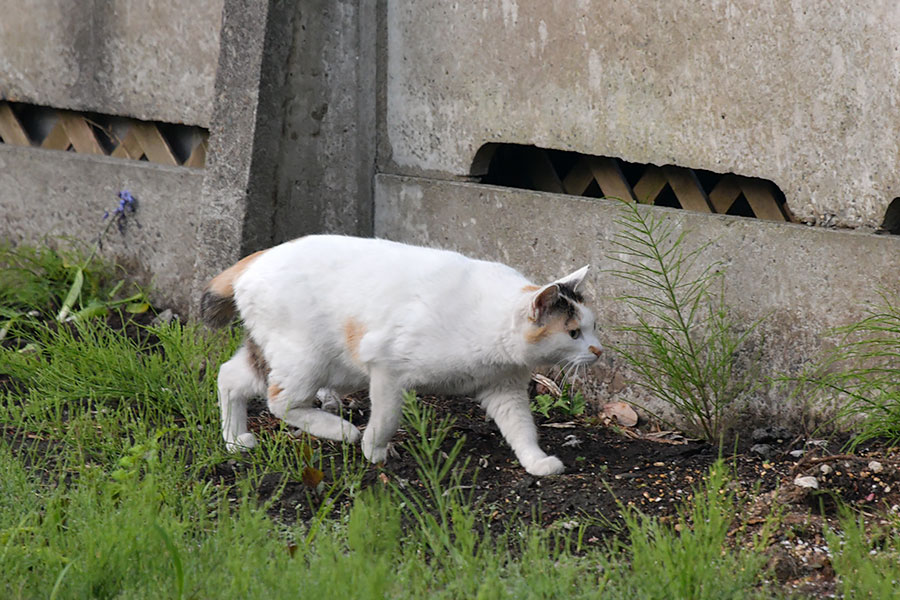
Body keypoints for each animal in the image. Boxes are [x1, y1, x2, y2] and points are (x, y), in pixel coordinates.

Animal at [200, 234, 600, 474]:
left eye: (593, 326)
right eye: (573, 333)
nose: (598, 350)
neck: (491, 322)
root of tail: (259, 256)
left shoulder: (505, 390)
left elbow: (522, 430)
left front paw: (537, 463)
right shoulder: (387, 371)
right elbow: (386, 419)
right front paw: (374, 451)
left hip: (301, 361)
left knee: (229, 377)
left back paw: (235, 441)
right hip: (308, 362)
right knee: (280, 402)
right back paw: (342, 430)